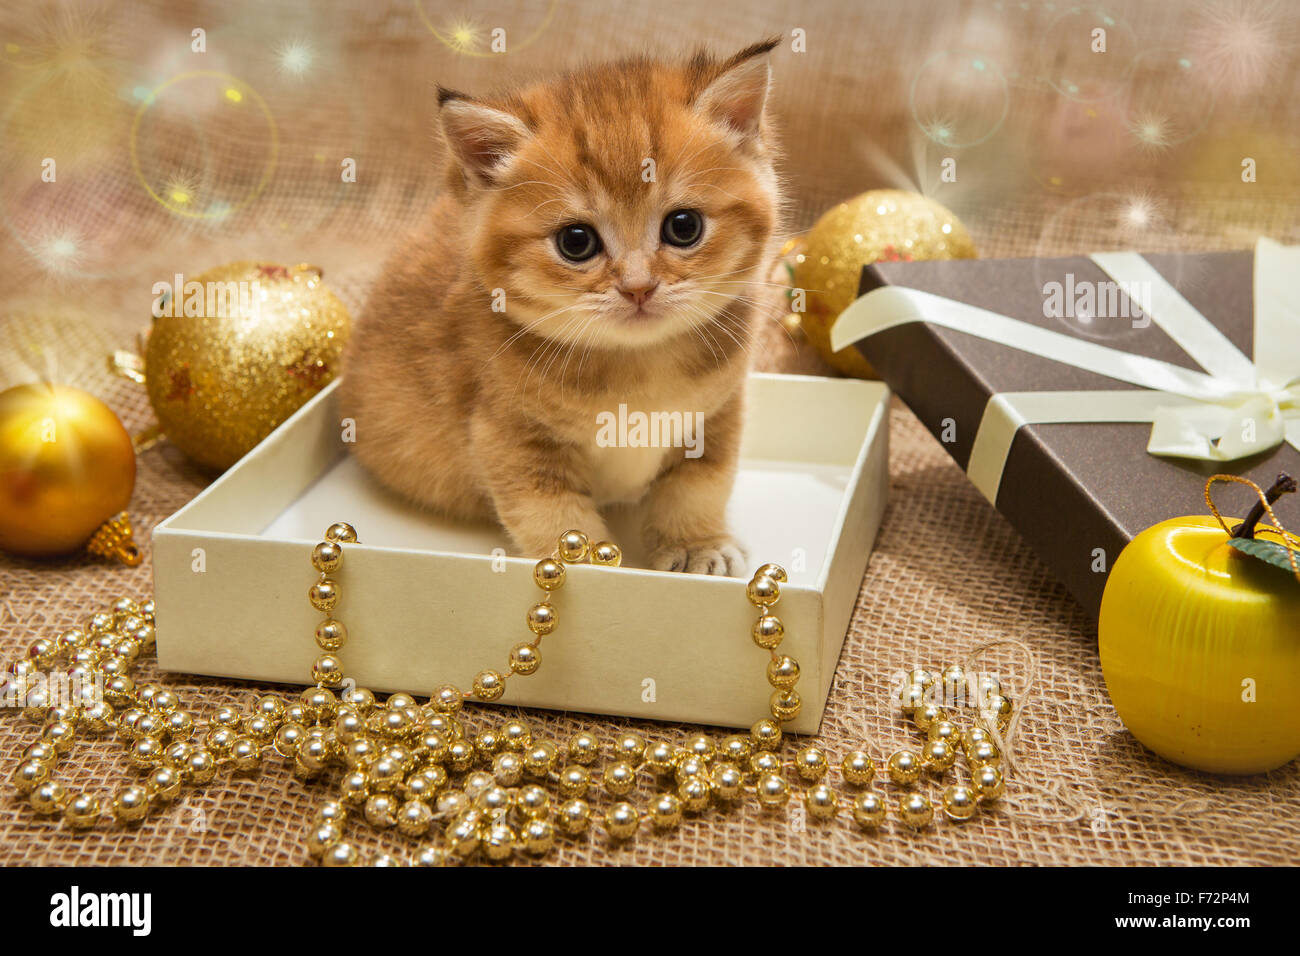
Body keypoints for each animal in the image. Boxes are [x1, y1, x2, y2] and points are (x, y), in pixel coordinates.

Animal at [338, 39, 780, 574]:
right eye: (576, 241)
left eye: (684, 227)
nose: (638, 287)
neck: (637, 366)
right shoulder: (510, 437)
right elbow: (554, 517)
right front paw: (590, 566)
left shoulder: (717, 414)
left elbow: (700, 485)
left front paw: (697, 543)